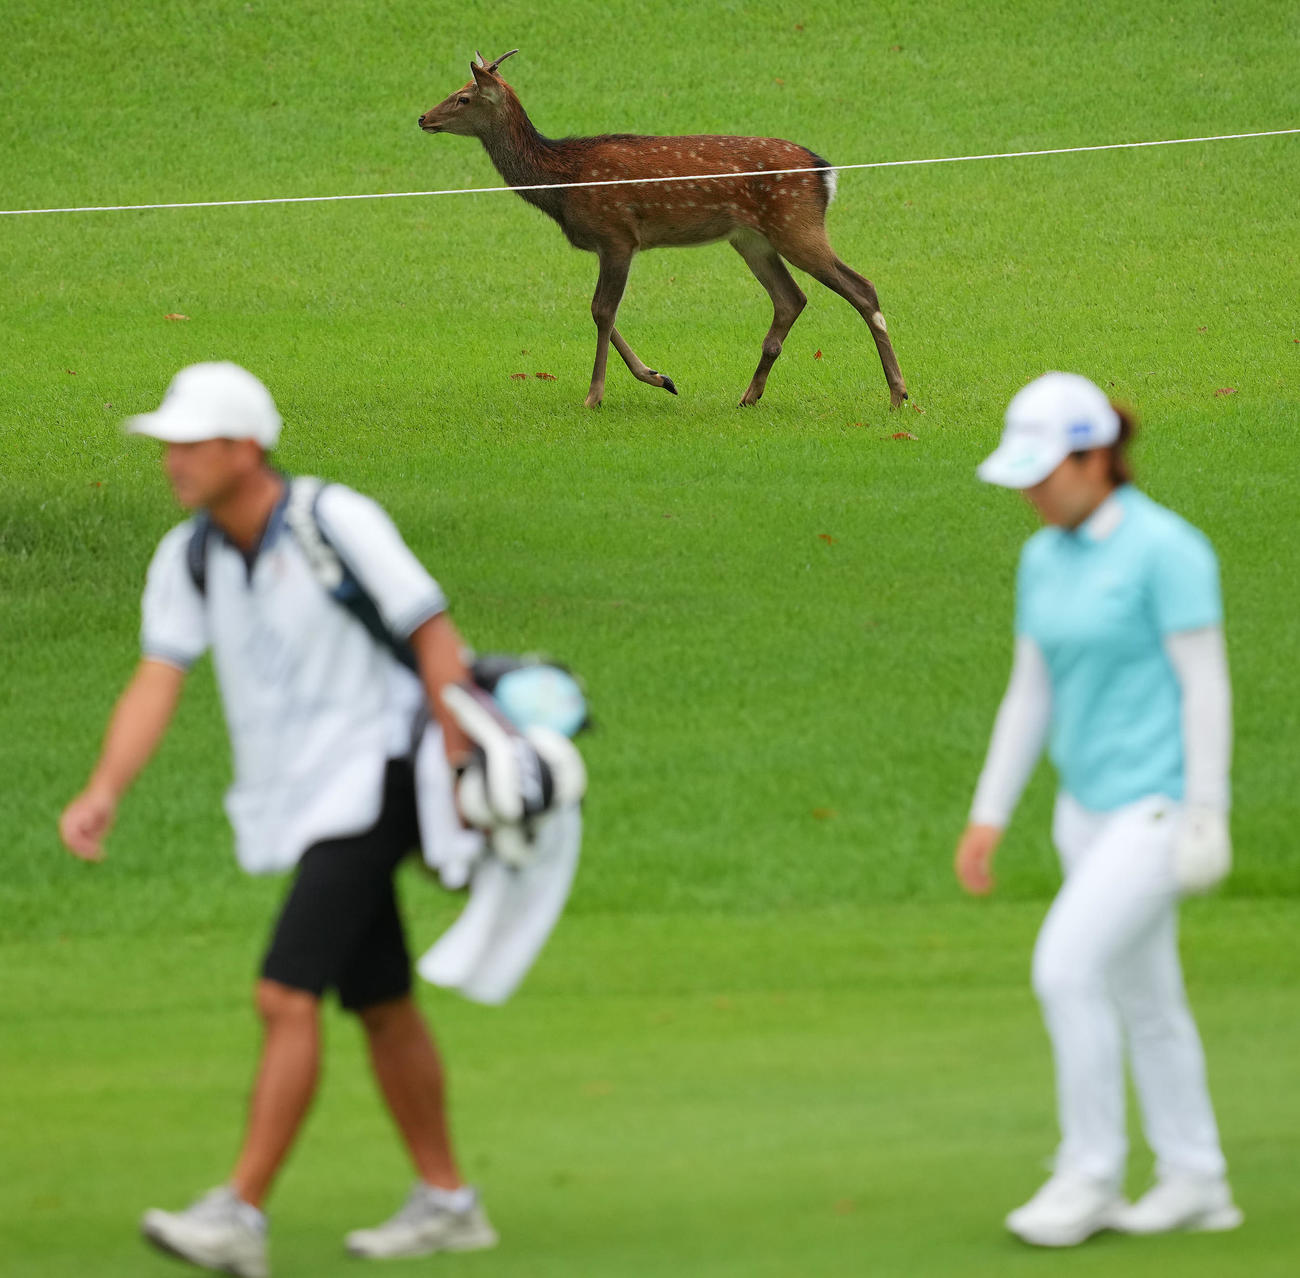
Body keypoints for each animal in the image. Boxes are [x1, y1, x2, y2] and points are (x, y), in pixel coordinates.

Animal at [418, 51, 908, 411]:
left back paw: (899, 394)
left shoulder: (617, 235)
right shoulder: (611, 244)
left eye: (463, 97)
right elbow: (600, 311)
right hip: (751, 239)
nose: (423, 118)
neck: (562, 181)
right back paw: (749, 395)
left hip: (796, 225)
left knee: (861, 287)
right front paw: (661, 377)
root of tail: (825, 172)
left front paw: (594, 396)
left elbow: (602, 311)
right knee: (791, 298)